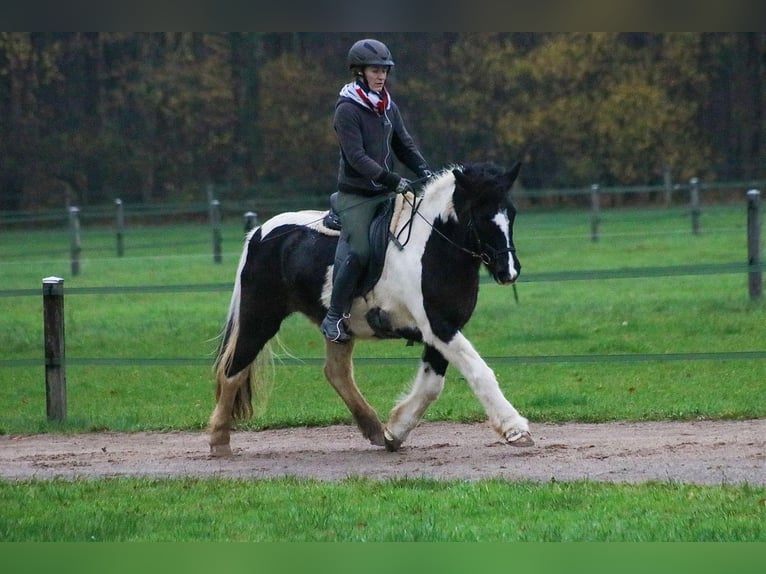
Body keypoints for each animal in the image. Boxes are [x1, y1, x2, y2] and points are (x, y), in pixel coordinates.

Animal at [208, 161, 534, 456]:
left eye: (512, 213)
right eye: (480, 216)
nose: (509, 271)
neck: (432, 249)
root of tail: (260, 232)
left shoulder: (444, 329)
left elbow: (431, 385)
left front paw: (396, 431)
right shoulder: (439, 326)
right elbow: (479, 371)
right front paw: (515, 428)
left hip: (338, 329)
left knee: (336, 372)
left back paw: (374, 428)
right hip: (260, 318)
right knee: (232, 370)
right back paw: (219, 441)